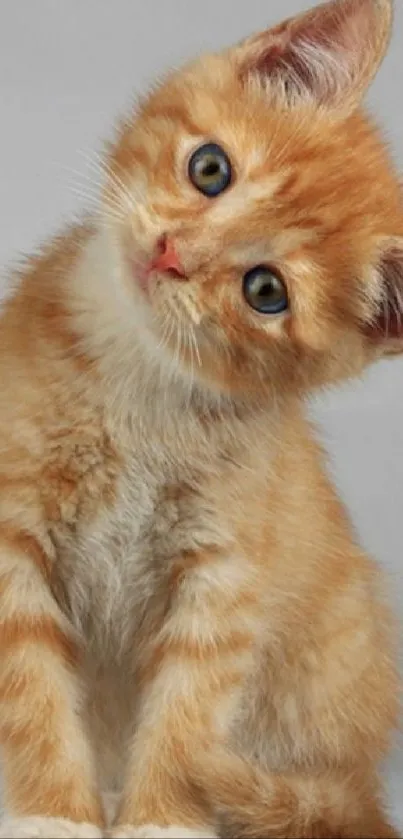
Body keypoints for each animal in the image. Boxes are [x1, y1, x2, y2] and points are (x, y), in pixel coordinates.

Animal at [0, 0, 402, 836]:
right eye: (210, 168)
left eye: (265, 290)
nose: (169, 252)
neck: (137, 383)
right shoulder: (10, 531)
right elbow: (30, 688)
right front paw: (53, 814)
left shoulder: (224, 575)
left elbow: (187, 710)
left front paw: (162, 818)